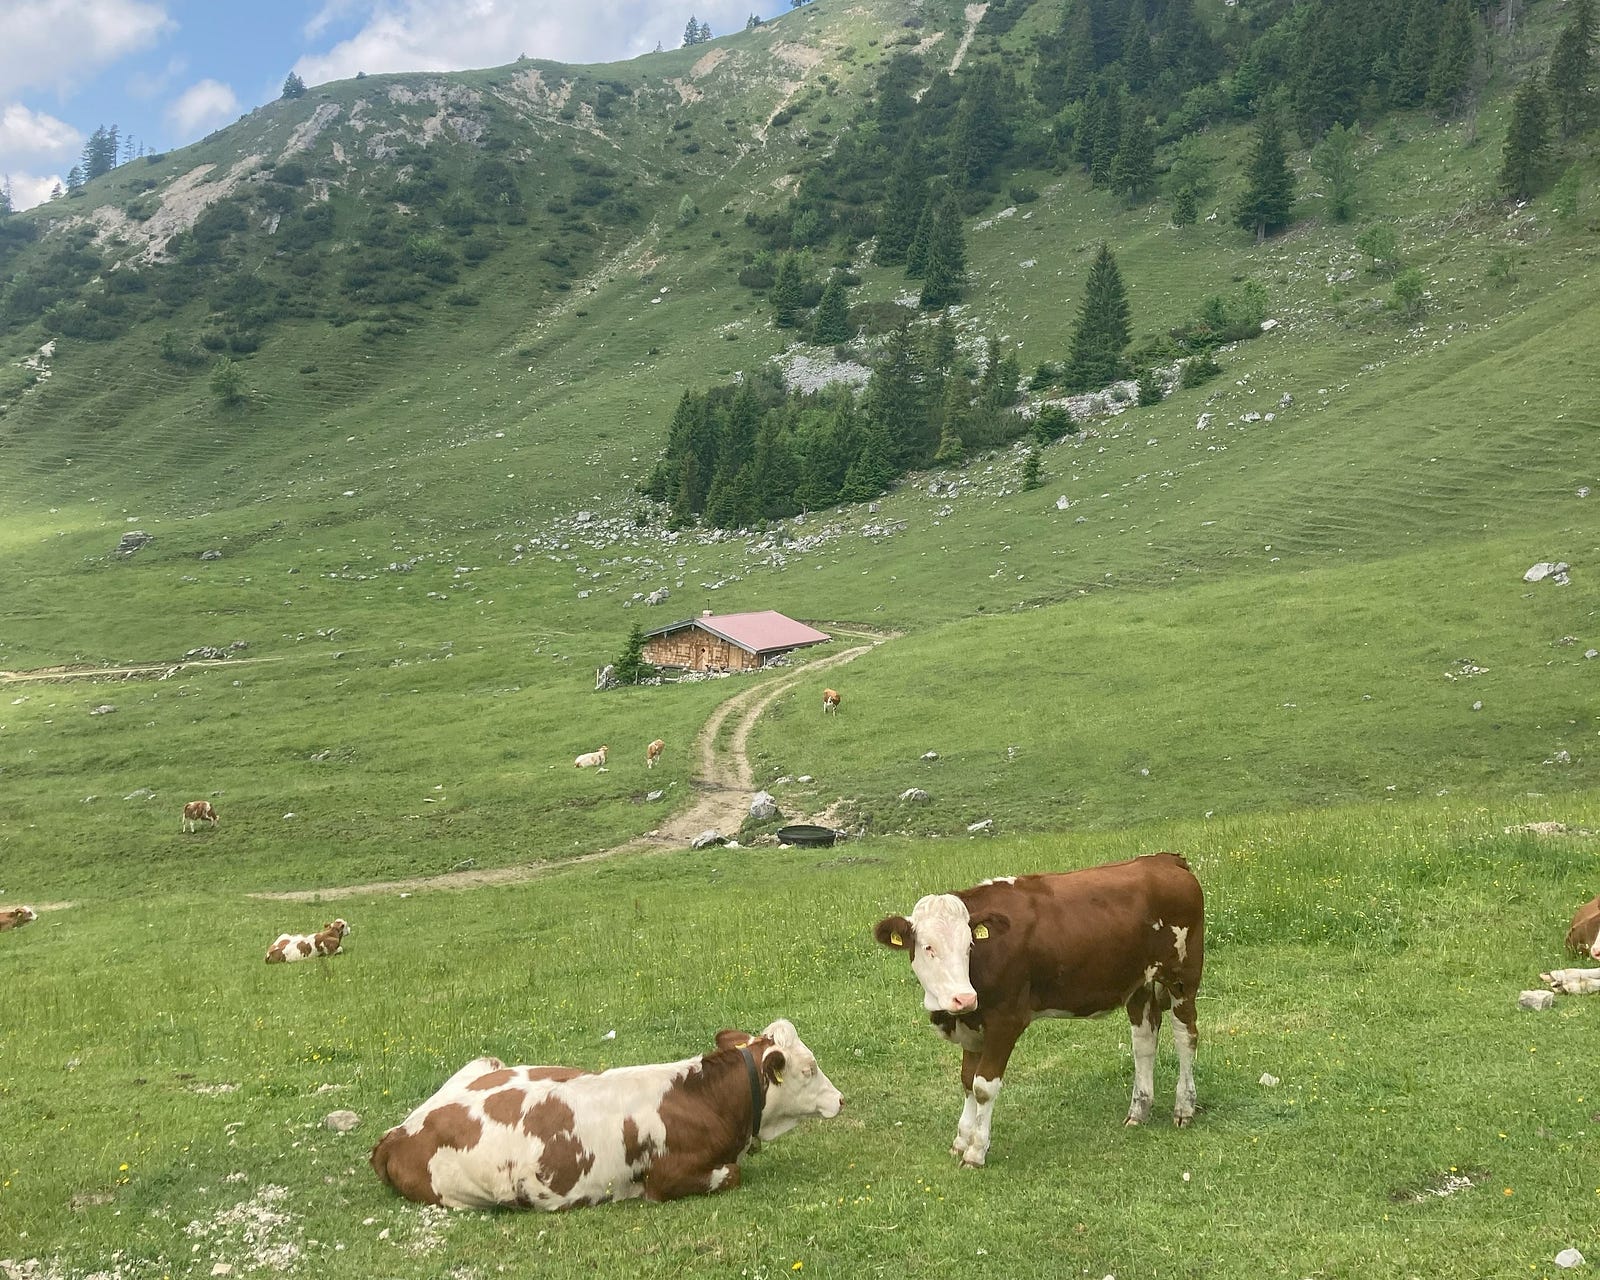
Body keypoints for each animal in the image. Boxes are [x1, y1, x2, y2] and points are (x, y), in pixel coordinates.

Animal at [369, 1019, 842, 1210]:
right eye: (809, 1068)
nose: (840, 1099)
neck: (705, 1101)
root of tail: (399, 1132)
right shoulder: (669, 1179)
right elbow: (733, 1174)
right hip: (463, 1195)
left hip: (485, 1061)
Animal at [874, 852, 1204, 1167]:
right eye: (928, 947)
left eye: (969, 945)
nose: (963, 998)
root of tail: (1163, 860)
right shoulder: (972, 1024)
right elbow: (967, 1080)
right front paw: (961, 1140)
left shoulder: (1006, 1020)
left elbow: (983, 1086)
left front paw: (976, 1151)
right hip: (1139, 984)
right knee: (1144, 1042)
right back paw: (1138, 1110)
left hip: (1183, 977)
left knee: (1186, 1036)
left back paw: (1184, 1107)